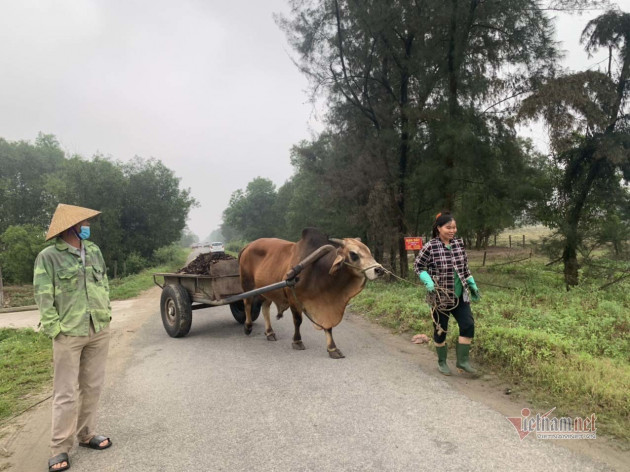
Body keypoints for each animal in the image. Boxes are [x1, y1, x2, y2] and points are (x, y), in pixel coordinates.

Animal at [239, 228, 386, 358]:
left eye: (369, 251)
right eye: (353, 254)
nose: (379, 270)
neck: (320, 272)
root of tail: (248, 245)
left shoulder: (326, 305)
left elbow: (328, 327)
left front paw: (332, 348)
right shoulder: (293, 299)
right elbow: (298, 321)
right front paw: (297, 341)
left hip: (267, 289)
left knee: (265, 307)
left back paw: (269, 332)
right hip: (247, 284)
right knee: (247, 303)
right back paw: (248, 326)